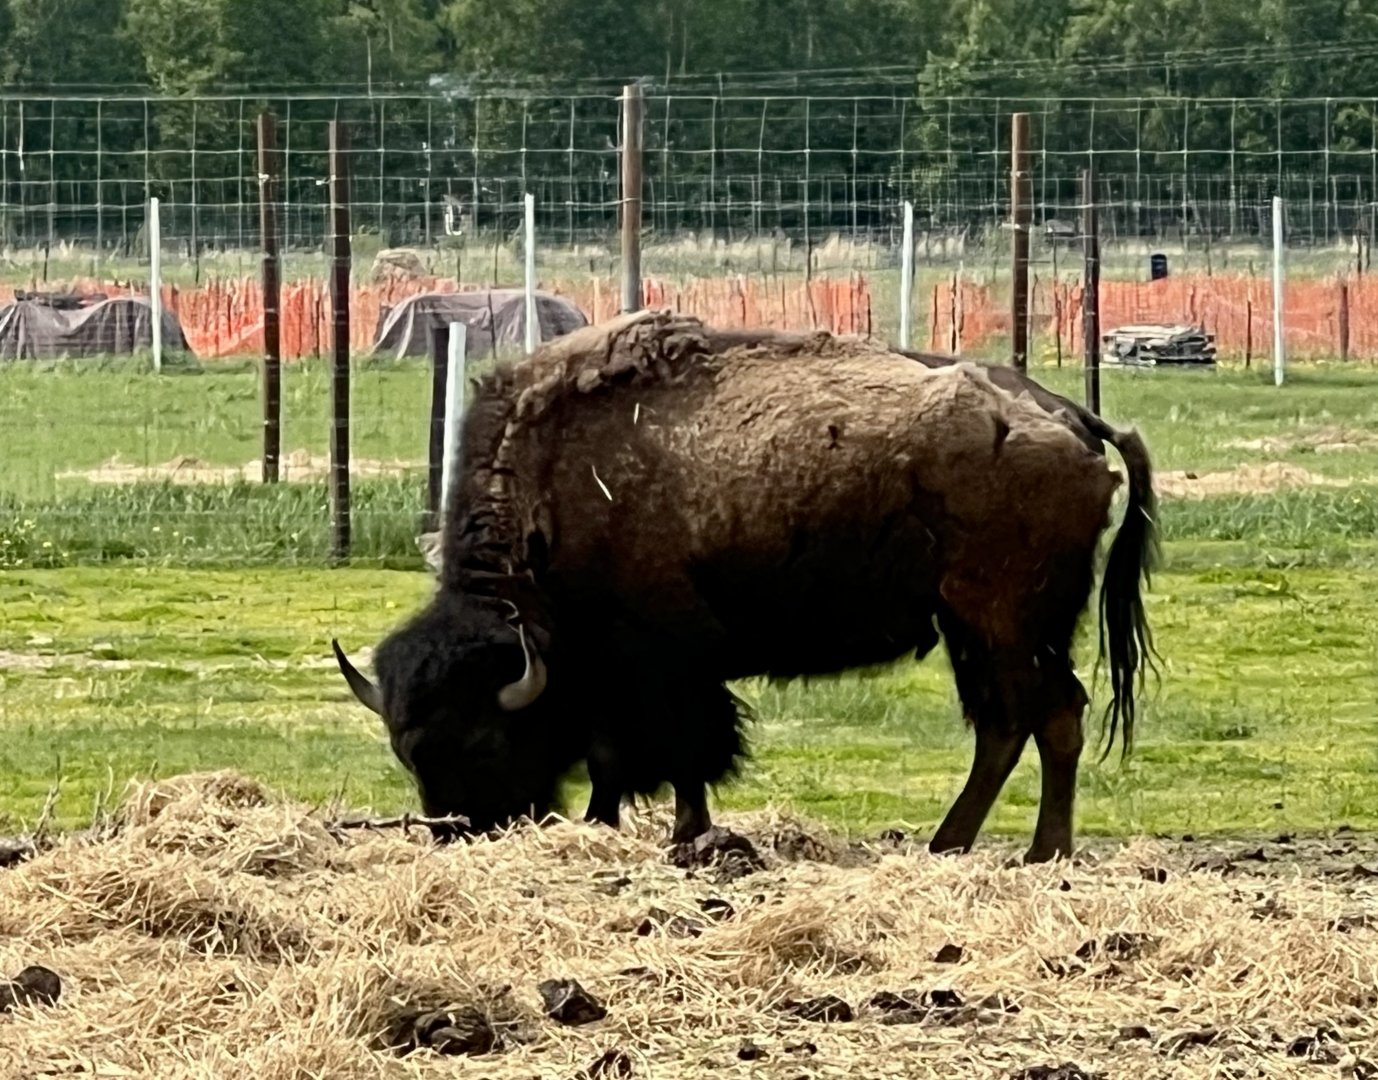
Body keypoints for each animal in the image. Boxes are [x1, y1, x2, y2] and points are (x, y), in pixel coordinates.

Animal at [333, 311, 1157, 863]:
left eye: (483, 738)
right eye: (406, 751)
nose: (463, 830)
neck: (555, 482)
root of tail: (1072, 418)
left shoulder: (661, 660)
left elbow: (679, 749)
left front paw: (686, 835)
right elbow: (614, 755)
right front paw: (608, 823)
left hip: (1003, 621)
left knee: (1049, 717)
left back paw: (1037, 852)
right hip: (974, 628)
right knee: (1008, 725)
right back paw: (952, 844)